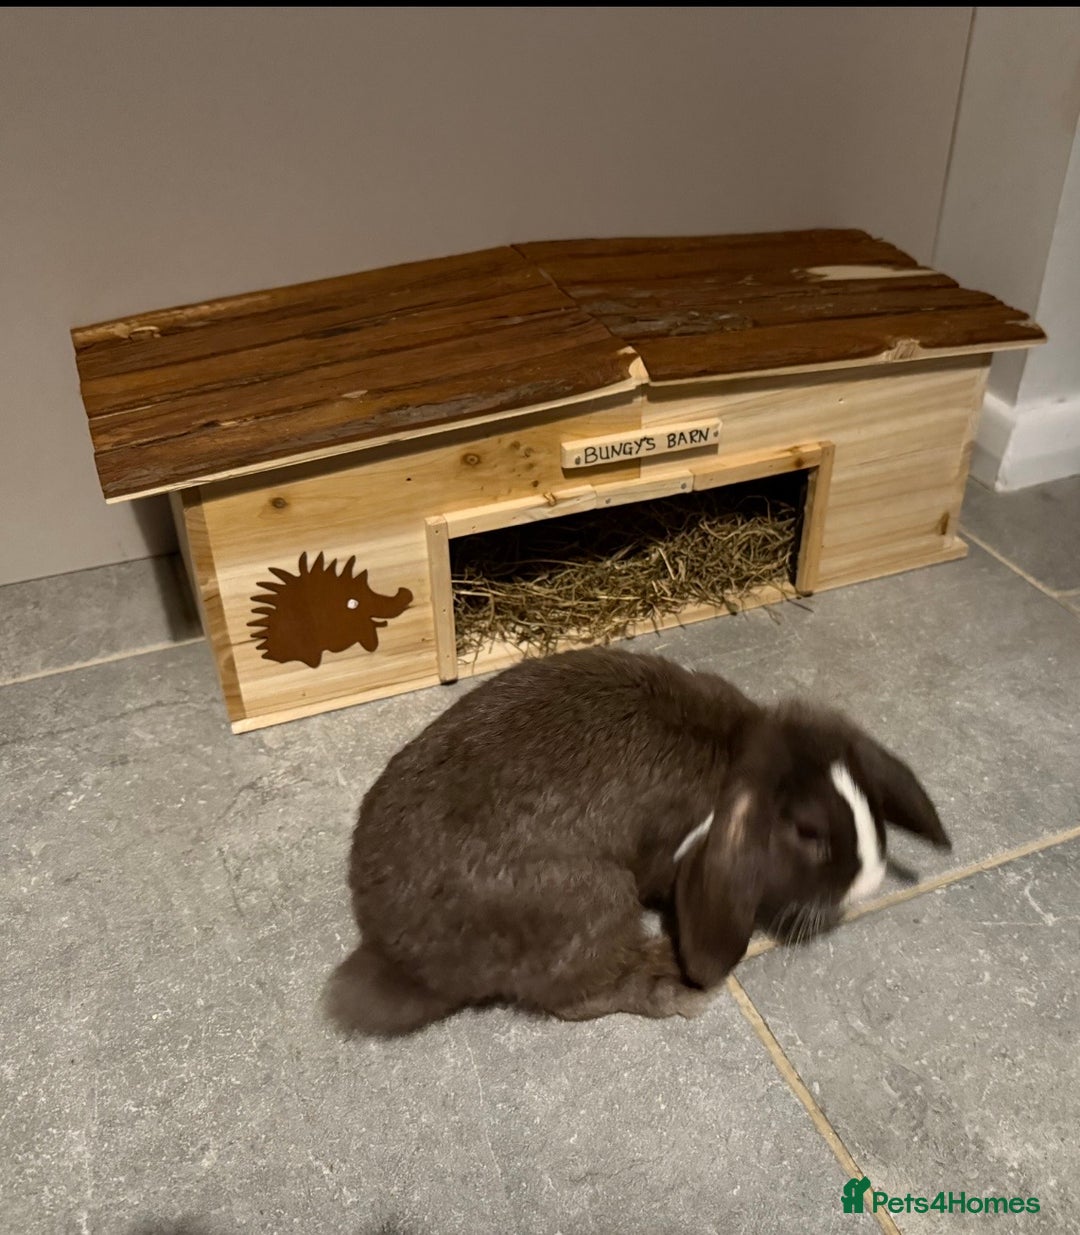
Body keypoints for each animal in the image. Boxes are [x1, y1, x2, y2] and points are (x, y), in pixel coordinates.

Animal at [325, 646, 950, 1036]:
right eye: (809, 835)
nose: (869, 882)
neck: (735, 751)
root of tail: (402, 959)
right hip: (595, 897)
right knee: (576, 997)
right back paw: (670, 982)